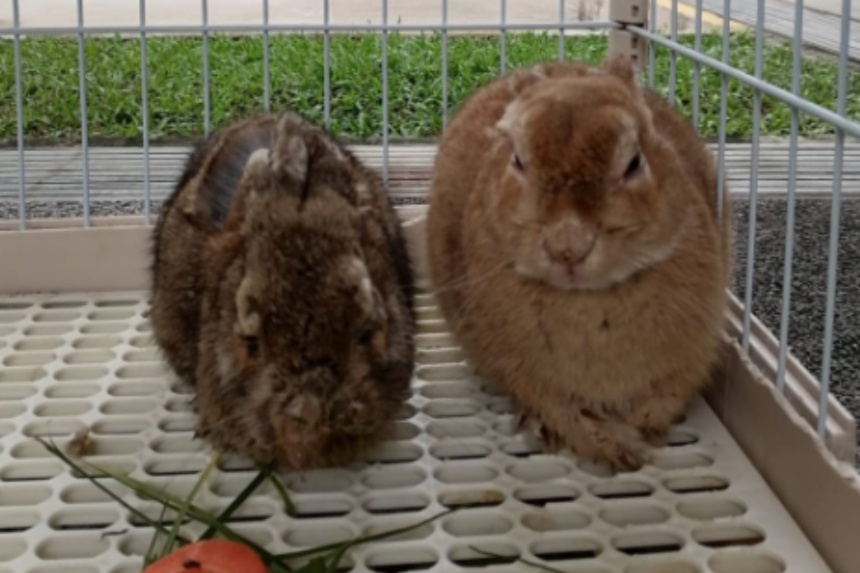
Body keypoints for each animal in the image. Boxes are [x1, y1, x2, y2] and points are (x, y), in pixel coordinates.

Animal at [426, 54, 732, 472]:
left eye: (634, 162)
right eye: (517, 160)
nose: (567, 249)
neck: (589, 298)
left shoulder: (695, 351)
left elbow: (668, 393)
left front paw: (640, 430)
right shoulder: (528, 376)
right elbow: (563, 410)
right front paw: (613, 448)